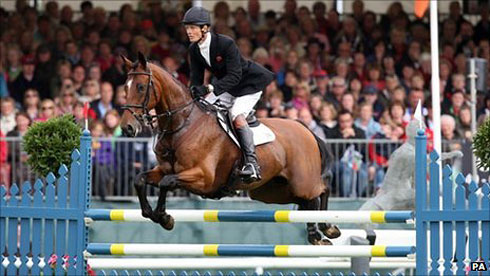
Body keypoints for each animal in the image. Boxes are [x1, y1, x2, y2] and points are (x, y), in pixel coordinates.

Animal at [119, 52, 340, 245]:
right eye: (125, 88)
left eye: (140, 87)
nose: (127, 127)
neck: (183, 124)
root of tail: (304, 128)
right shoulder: (164, 170)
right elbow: (140, 180)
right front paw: (154, 214)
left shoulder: (203, 178)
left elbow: (166, 183)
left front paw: (164, 218)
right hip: (271, 191)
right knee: (307, 201)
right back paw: (316, 233)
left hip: (301, 181)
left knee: (322, 188)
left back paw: (327, 228)